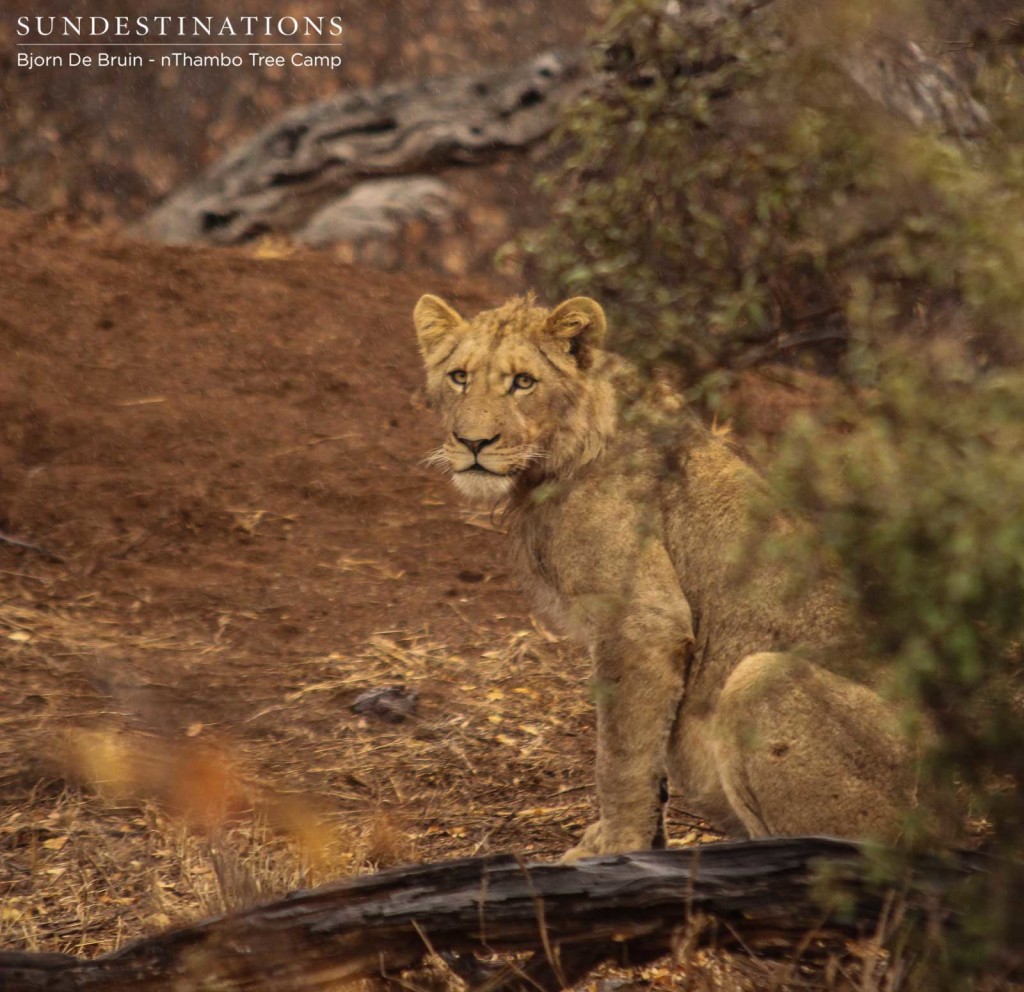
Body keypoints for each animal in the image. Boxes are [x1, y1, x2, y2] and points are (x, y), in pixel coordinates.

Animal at [411, 290, 933, 855]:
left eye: (523, 382)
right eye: (459, 377)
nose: (473, 443)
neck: (553, 462)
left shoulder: (642, 622)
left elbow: (619, 757)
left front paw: (619, 849)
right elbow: (648, 757)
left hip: (762, 677)